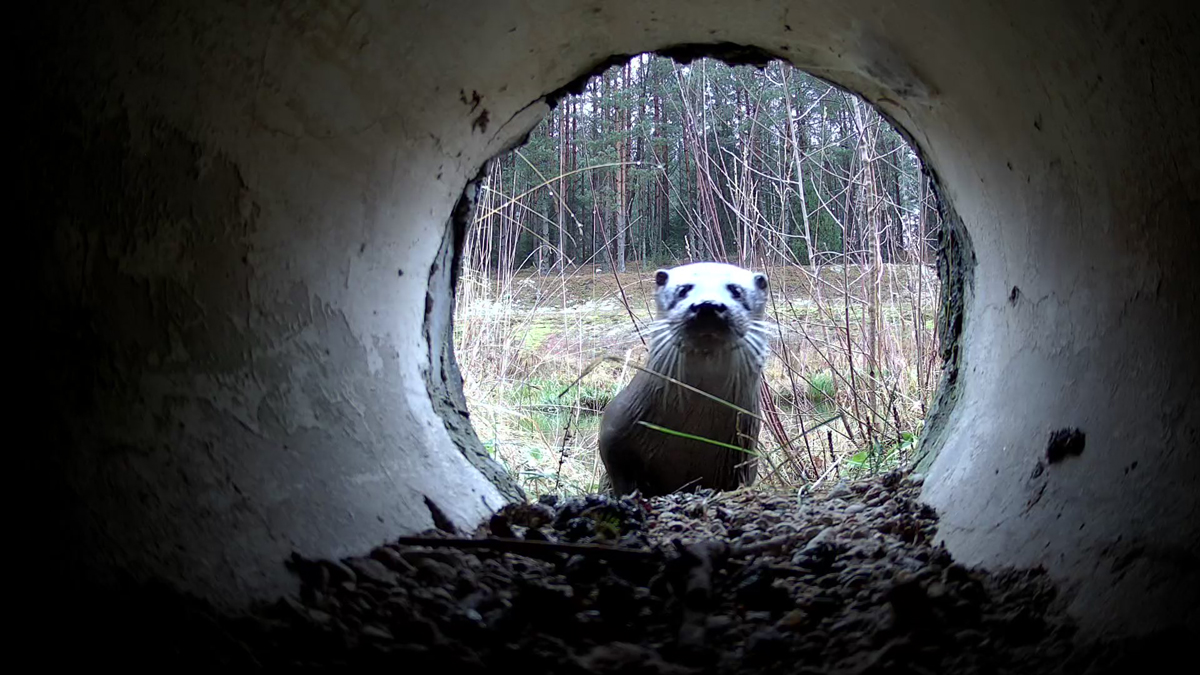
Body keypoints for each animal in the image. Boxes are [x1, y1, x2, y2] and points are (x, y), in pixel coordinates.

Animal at [598, 262, 772, 497]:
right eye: (683, 290)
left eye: (736, 290)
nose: (707, 305)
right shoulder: (614, 430)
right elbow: (619, 474)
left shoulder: (745, 448)